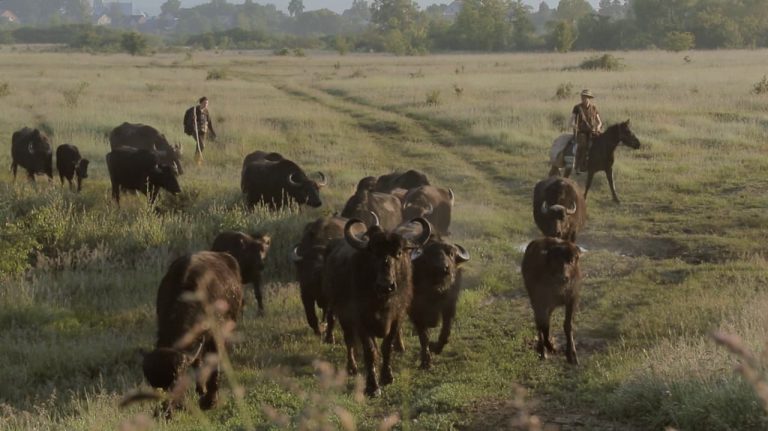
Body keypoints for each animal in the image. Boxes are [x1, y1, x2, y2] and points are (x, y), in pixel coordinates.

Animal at [142, 251, 243, 416]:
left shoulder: (215, 337)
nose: (165, 412)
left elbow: (215, 367)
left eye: (176, 379)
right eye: (156, 386)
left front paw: (209, 402)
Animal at [322, 218, 432, 396]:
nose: (385, 286)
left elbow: (387, 346)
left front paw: (387, 376)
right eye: (374, 253)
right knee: (349, 340)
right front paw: (372, 387)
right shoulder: (360, 320)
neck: (382, 302)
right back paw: (352, 367)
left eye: (398, 253)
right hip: (343, 315)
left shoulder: (397, 317)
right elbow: (370, 351)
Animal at [412, 238, 472, 370]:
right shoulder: (416, 311)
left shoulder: (450, 306)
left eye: (451, 254)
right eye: (430, 254)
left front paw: (436, 347)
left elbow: (446, 331)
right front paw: (426, 362)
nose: (443, 268)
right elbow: (424, 336)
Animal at [520, 238, 584, 366]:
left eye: (571, 260)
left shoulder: (572, 299)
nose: (563, 277)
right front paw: (550, 348)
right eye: (555, 261)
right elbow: (543, 324)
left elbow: (568, 325)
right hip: (535, 301)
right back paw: (543, 351)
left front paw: (572, 355)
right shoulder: (541, 301)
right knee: (540, 323)